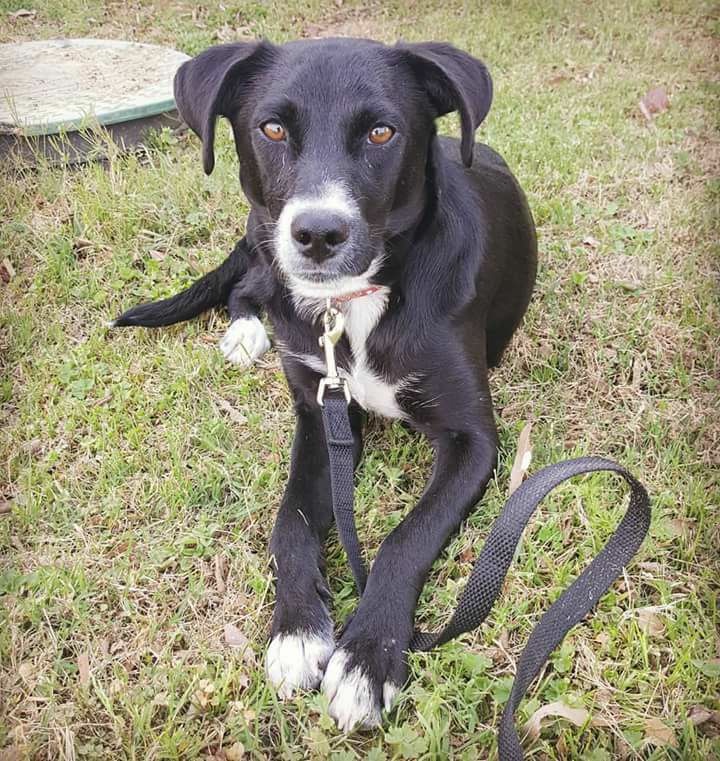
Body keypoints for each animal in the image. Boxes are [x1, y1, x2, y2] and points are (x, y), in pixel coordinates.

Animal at [112, 37, 538, 731]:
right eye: (272, 128)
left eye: (381, 132)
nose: (317, 234)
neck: (350, 305)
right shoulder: (319, 418)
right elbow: (288, 522)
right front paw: (297, 632)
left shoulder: (473, 439)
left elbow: (405, 538)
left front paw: (368, 657)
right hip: (262, 242)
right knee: (247, 283)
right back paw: (246, 331)